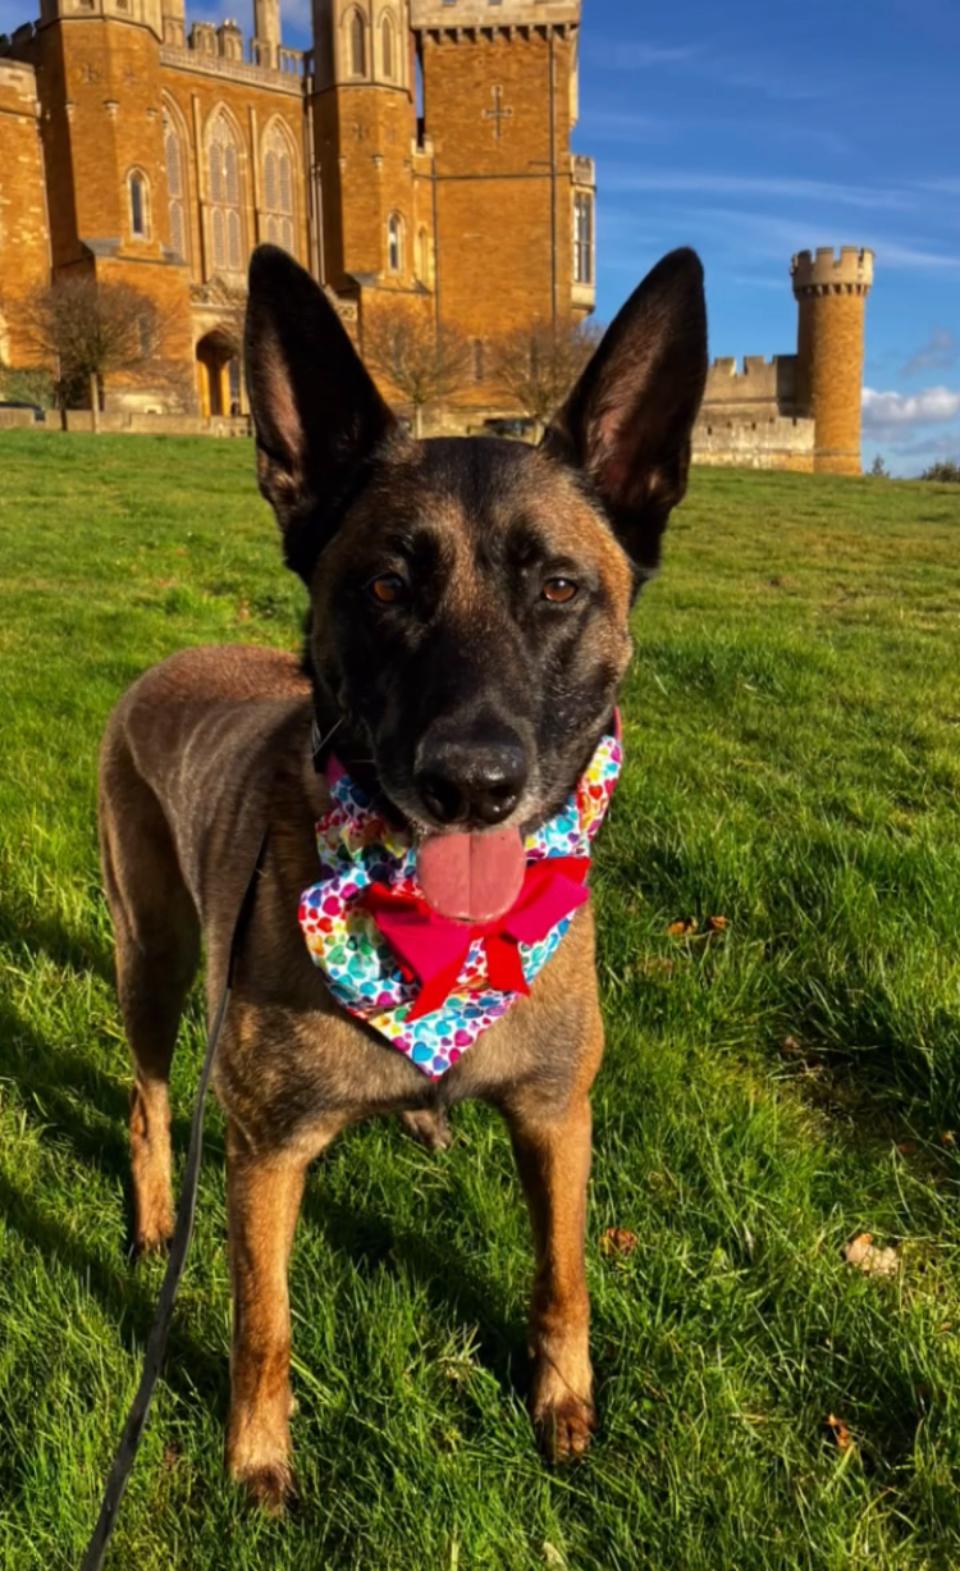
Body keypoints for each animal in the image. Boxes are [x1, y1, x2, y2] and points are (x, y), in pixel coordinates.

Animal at [99, 238, 707, 1501]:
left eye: (559, 587)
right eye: (384, 586)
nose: (471, 783)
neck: (439, 949)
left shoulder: (556, 1114)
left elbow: (563, 1272)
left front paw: (562, 1398)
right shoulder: (264, 1151)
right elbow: (262, 1324)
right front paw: (257, 1459)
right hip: (153, 956)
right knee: (144, 1095)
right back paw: (152, 1212)